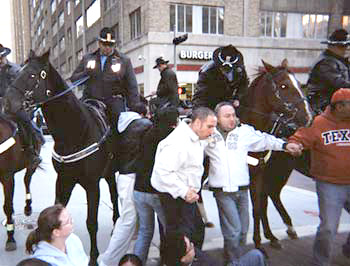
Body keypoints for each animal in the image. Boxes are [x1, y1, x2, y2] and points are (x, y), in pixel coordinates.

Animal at [2, 50, 127, 266]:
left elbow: (91, 222)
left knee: (113, 195)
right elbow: (53, 214)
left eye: (32, 74)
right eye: (19, 72)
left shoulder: (92, 185)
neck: (75, 132)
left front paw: (93, 258)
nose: (8, 103)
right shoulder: (63, 181)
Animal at [239, 58, 314, 254]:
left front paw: (258, 242)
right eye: (283, 85)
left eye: (300, 84)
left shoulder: (257, 175)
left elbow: (257, 207)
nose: (308, 117)